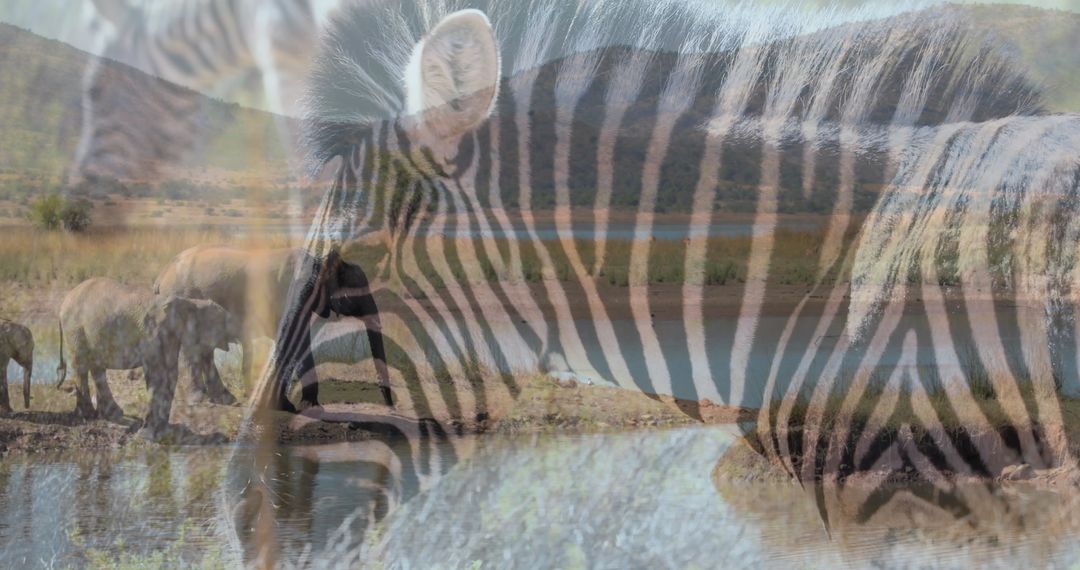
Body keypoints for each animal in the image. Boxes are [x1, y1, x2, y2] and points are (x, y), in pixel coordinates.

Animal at [56, 277, 236, 432]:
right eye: (222, 321)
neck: (188, 302)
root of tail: (64, 302)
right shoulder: (152, 333)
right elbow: (157, 374)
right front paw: (149, 429)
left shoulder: (169, 336)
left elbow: (171, 373)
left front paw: (161, 428)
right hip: (75, 330)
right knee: (82, 367)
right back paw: (88, 416)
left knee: (97, 369)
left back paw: (112, 414)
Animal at [154, 245, 391, 411]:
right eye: (359, 294)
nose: (390, 406)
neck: (320, 263)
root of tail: (163, 273)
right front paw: (291, 407)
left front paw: (305, 405)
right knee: (193, 349)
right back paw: (204, 399)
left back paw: (225, 399)